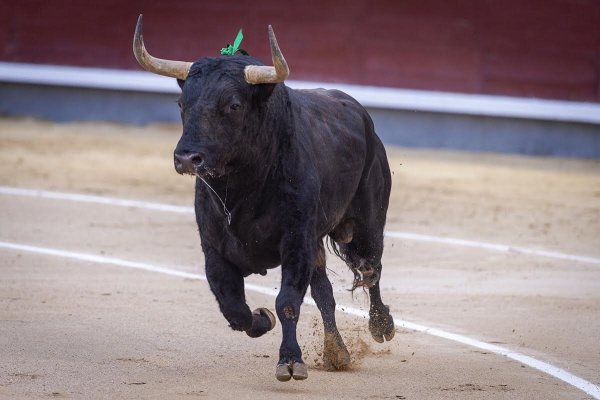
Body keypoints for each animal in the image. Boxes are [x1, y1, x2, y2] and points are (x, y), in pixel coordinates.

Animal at [132, 19, 394, 382]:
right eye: (181, 104)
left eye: (233, 105)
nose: (186, 158)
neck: (244, 187)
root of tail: (360, 114)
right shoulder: (214, 250)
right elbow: (234, 309)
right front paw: (262, 318)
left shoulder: (295, 241)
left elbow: (288, 301)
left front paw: (290, 361)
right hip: (317, 242)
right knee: (325, 292)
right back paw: (336, 352)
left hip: (367, 222)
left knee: (371, 270)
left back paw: (382, 325)